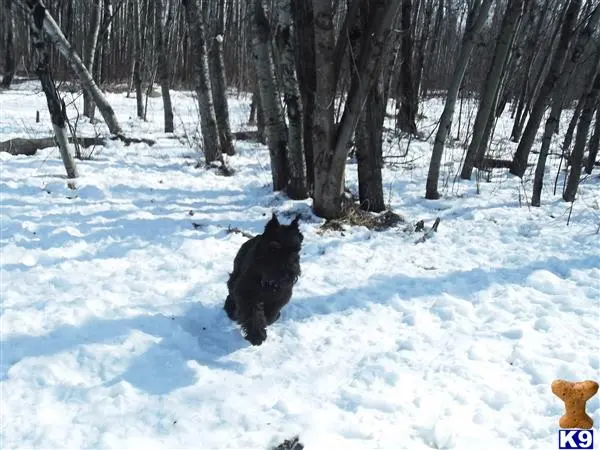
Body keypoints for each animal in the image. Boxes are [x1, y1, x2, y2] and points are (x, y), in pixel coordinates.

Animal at [224, 213, 302, 346]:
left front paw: (267, 321)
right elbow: (253, 314)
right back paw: (231, 309)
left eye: (297, 249)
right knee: (231, 294)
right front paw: (257, 335)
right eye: (274, 247)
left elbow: (271, 314)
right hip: (234, 278)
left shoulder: (281, 295)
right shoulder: (247, 293)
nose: (290, 272)